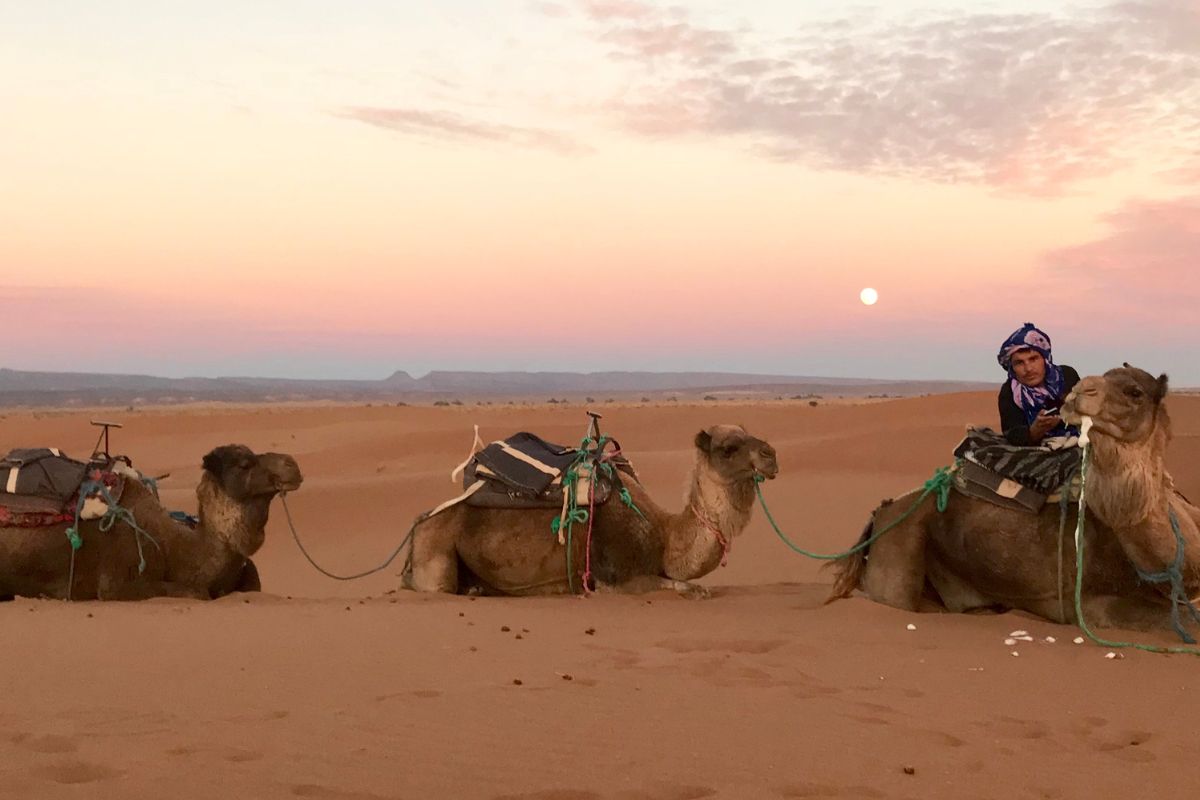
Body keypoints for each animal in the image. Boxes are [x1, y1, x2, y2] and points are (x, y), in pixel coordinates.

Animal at [403, 424, 777, 594]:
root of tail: (419, 523)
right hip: (436, 551)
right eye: (729, 448)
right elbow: (691, 589)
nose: (771, 454)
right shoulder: (613, 579)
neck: (663, 534)